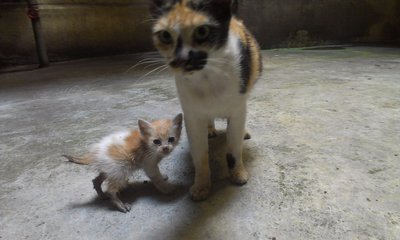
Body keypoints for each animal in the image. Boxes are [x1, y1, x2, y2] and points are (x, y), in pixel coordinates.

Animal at [150, 0, 262, 201]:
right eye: (165, 35)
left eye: (202, 31)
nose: (181, 58)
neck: (207, 77)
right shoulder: (192, 115)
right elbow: (200, 154)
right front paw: (202, 185)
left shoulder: (237, 108)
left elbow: (233, 147)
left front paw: (238, 174)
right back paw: (210, 129)